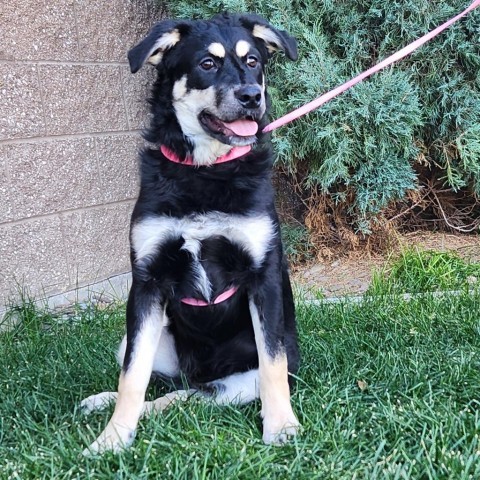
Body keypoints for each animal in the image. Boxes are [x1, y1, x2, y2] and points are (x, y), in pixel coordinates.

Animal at [81, 12, 300, 454]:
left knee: (189, 395)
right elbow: (132, 376)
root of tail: (197, 371)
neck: (205, 171)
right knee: (160, 382)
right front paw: (112, 438)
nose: (252, 96)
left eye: (253, 60)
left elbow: (273, 364)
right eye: (207, 64)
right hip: (139, 338)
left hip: (237, 382)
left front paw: (282, 426)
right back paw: (103, 402)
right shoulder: (147, 283)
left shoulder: (263, 277)